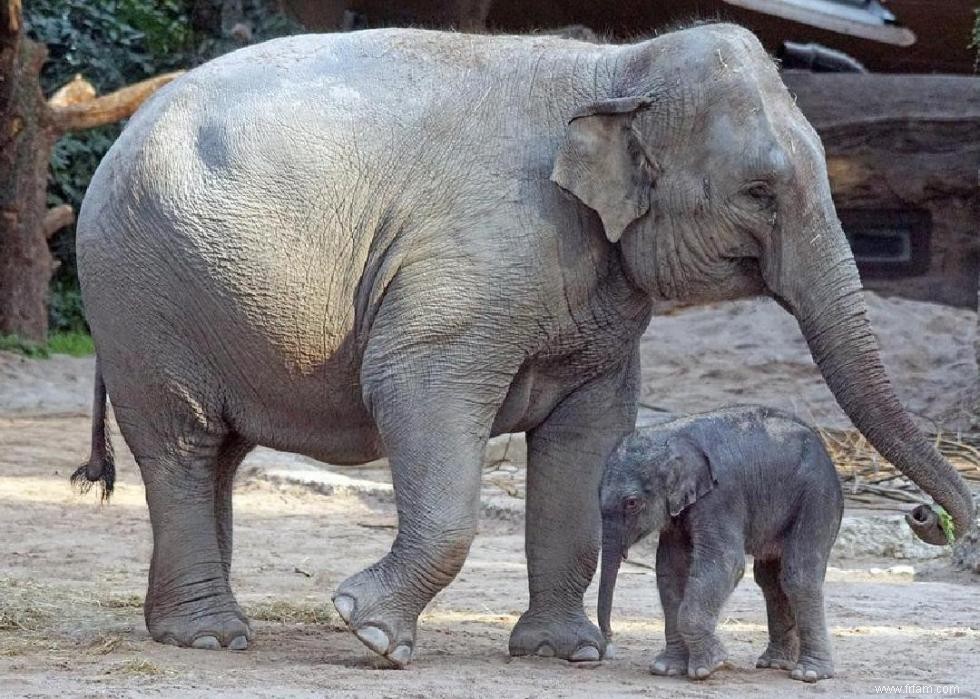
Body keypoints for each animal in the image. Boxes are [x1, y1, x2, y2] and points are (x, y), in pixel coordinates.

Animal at [596, 404, 844, 684]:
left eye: (632, 503)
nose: (609, 646)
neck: (670, 434)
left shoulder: (721, 496)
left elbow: (725, 562)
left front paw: (709, 667)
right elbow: (670, 570)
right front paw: (667, 669)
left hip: (816, 496)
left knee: (799, 574)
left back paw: (809, 673)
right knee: (771, 579)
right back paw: (774, 663)